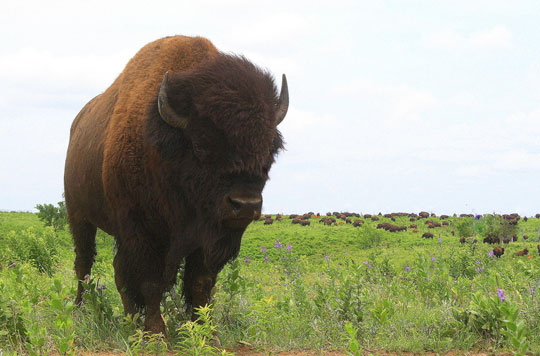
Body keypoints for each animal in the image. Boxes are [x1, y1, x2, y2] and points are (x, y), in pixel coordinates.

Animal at [63, 37, 288, 336]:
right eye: (200, 146)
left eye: (269, 149)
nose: (245, 205)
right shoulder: (144, 232)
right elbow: (150, 281)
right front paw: (156, 334)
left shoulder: (207, 236)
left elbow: (200, 283)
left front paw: (206, 332)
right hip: (80, 217)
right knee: (85, 265)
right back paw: (80, 311)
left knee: (117, 271)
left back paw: (129, 320)